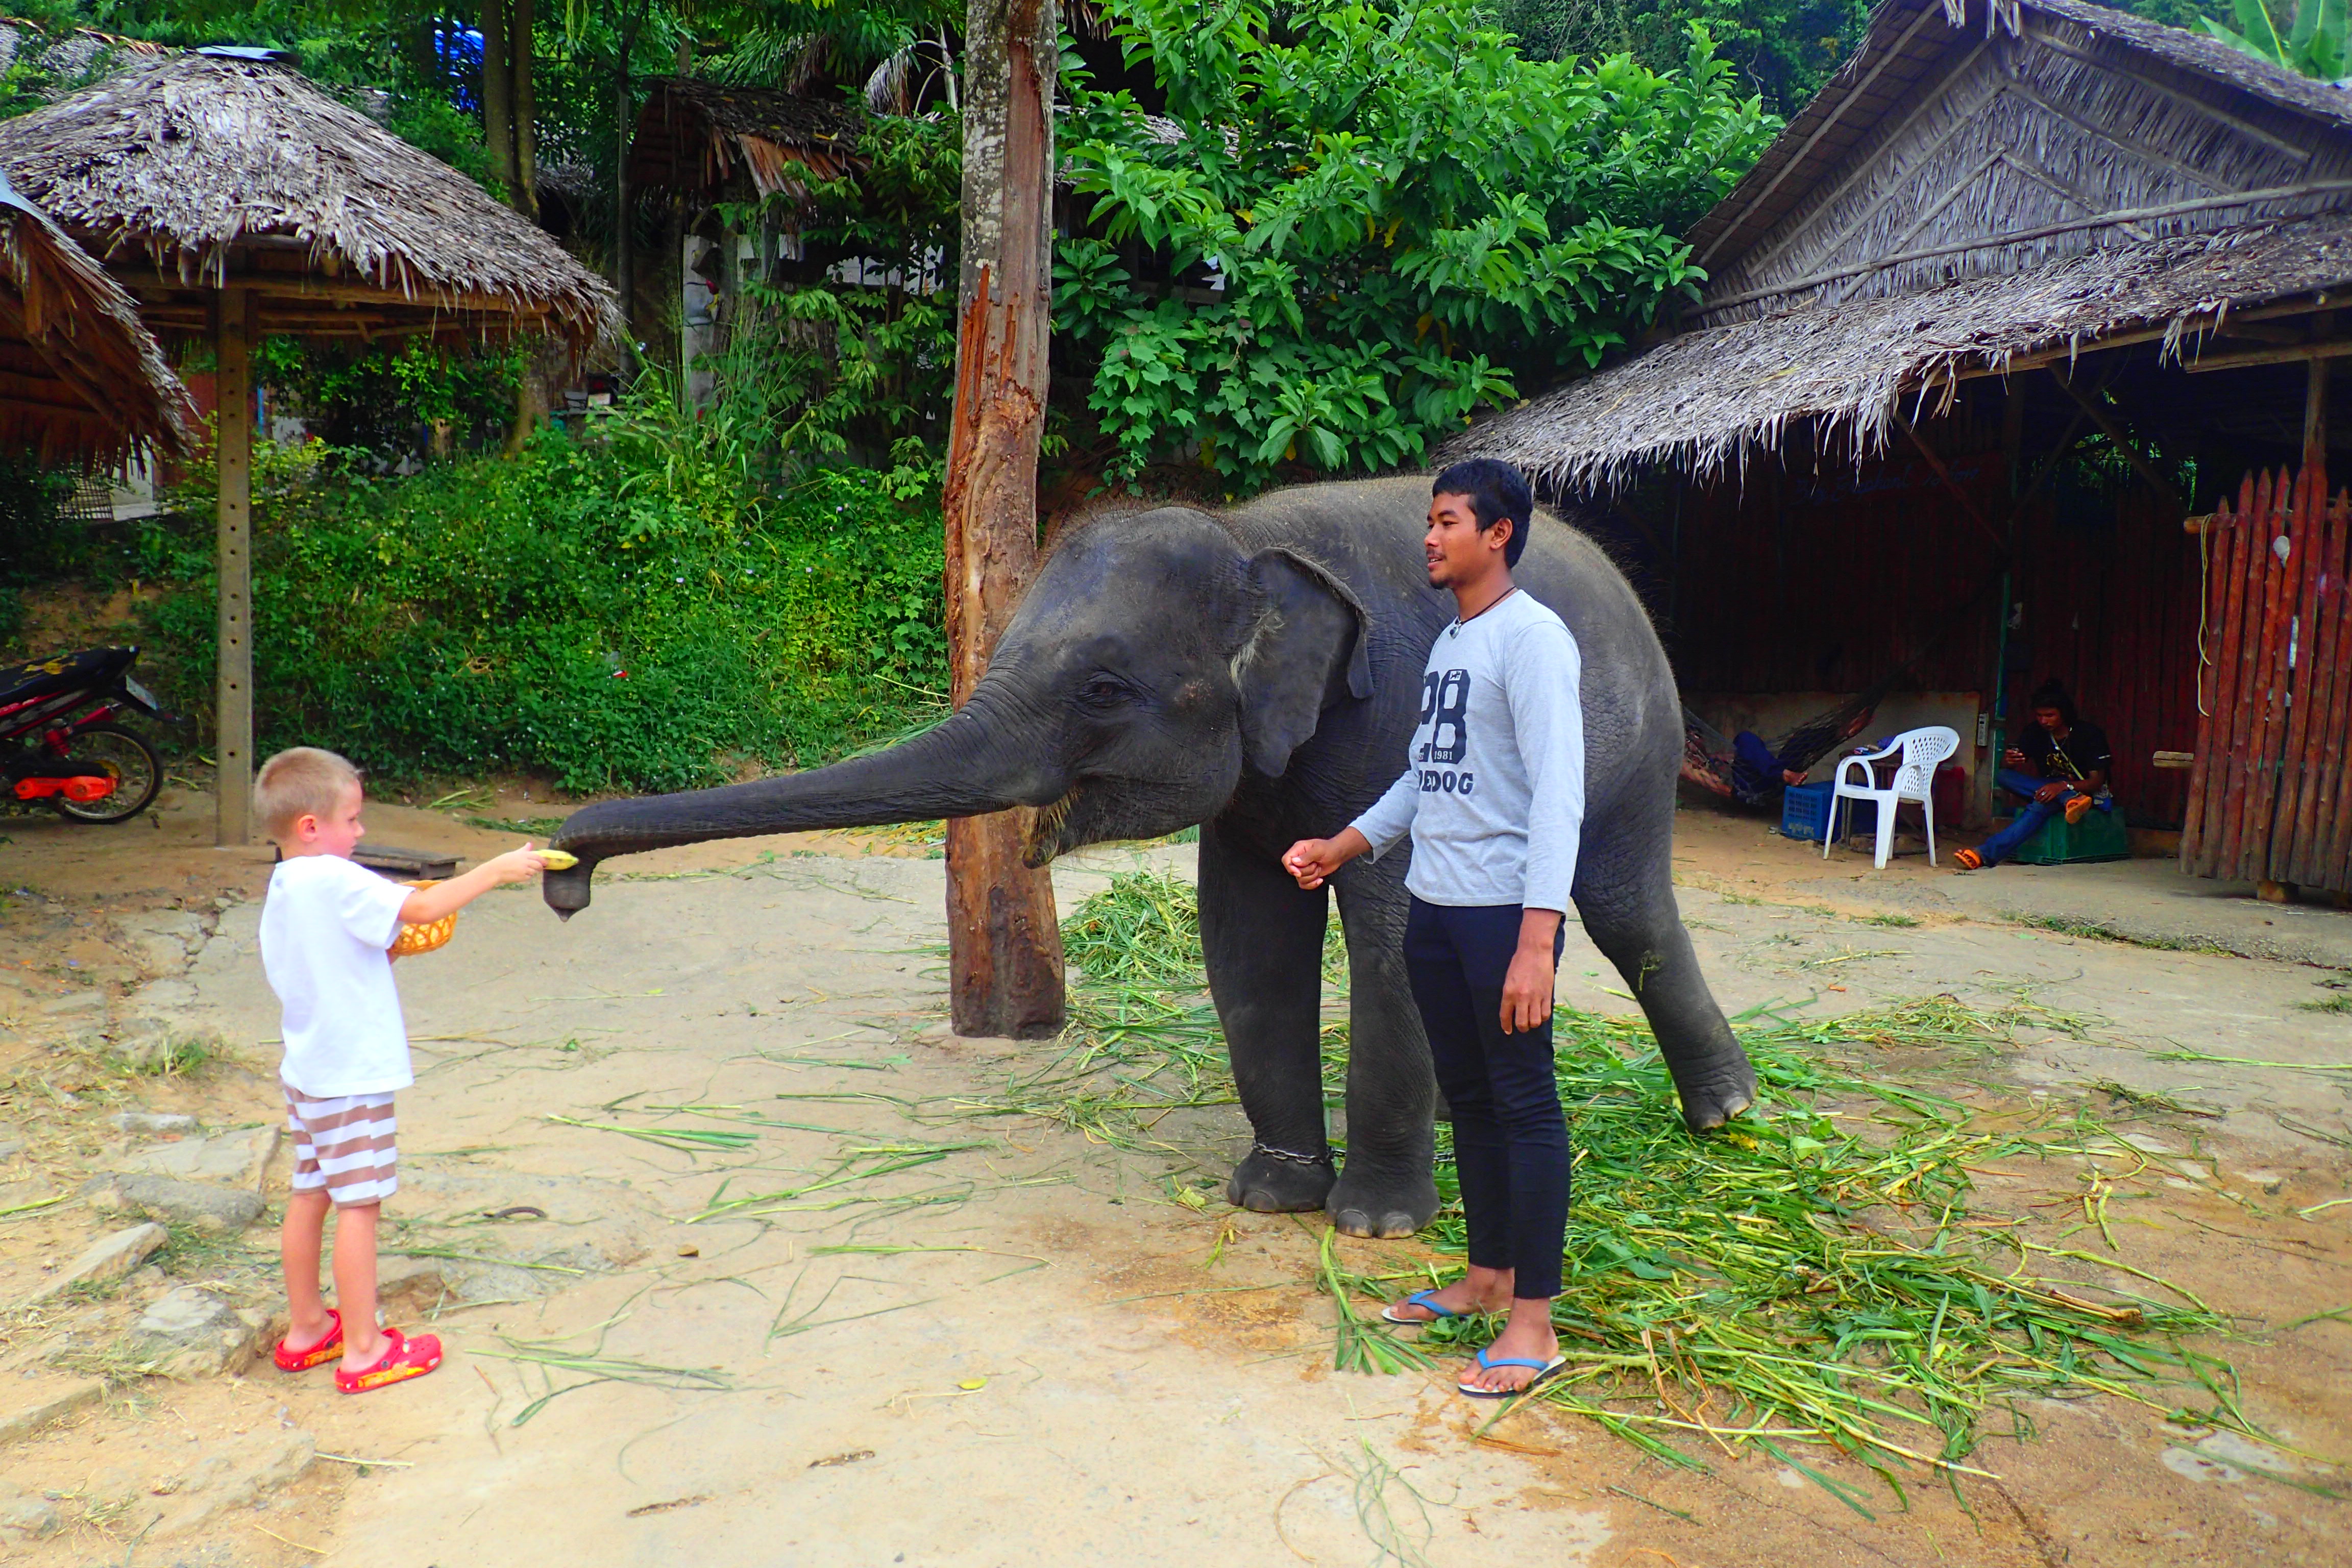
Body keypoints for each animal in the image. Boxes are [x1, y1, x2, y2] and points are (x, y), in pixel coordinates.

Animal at [541, 472, 1759, 1232]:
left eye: (1103, 689)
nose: (566, 882)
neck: (1248, 534)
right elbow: (1249, 939)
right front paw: (1269, 1201)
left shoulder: (1393, 724)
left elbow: (1385, 933)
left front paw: (1370, 1226)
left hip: (1631, 750)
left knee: (1625, 911)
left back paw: (1726, 1118)